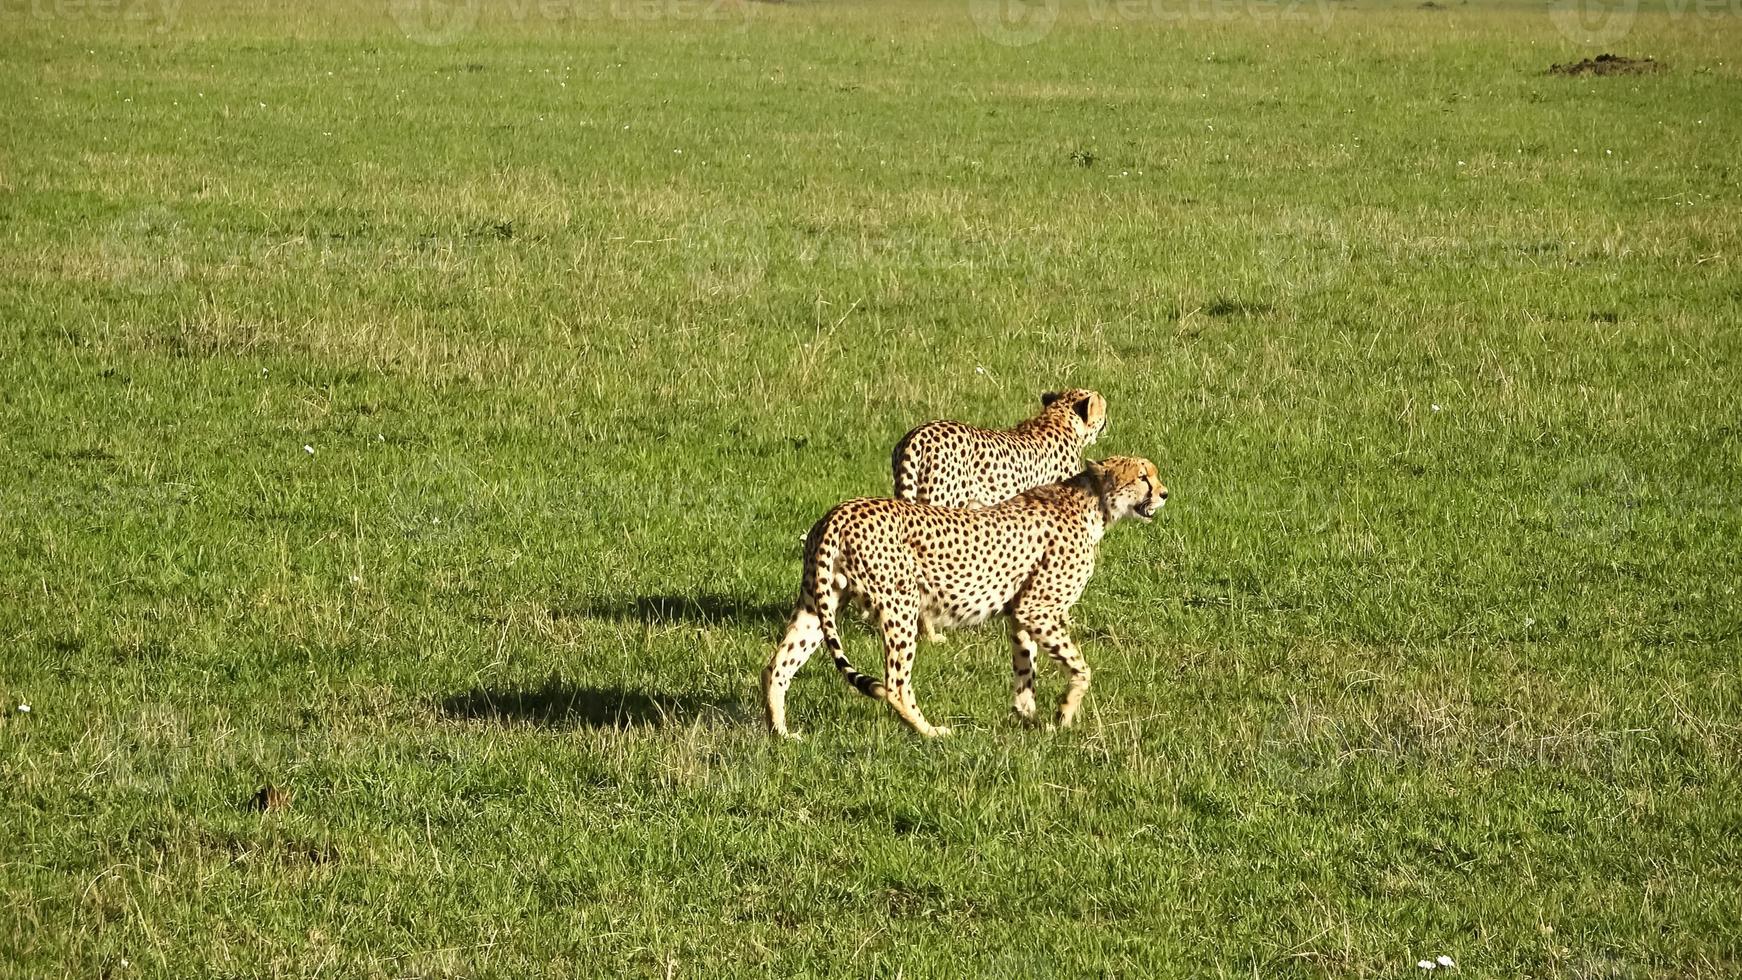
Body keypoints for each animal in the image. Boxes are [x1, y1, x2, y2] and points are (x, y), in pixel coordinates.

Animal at [762, 456, 1170, 741]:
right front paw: (1064, 713)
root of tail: (839, 512)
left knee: (777, 665)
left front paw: (1027, 714)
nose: (1164, 493)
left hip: (819, 603)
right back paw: (930, 732)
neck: (1093, 503)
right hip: (900, 605)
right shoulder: (1037, 608)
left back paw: (780, 732)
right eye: (1142, 476)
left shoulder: (1020, 613)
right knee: (895, 684)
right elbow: (1082, 668)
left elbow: (1025, 668)